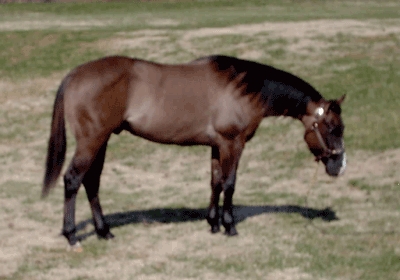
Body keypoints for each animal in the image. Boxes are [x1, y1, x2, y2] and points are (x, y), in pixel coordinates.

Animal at [42, 54, 346, 247]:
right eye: (333, 128)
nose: (339, 166)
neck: (242, 89)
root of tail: (74, 75)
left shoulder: (216, 146)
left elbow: (215, 182)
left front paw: (213, 224)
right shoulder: (232, 143)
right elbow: (230, 183)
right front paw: (229, 226)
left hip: (101, 141)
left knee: (91, 182)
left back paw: (104, 232)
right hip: (91, 141)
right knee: (73, 180)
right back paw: (71, 235)